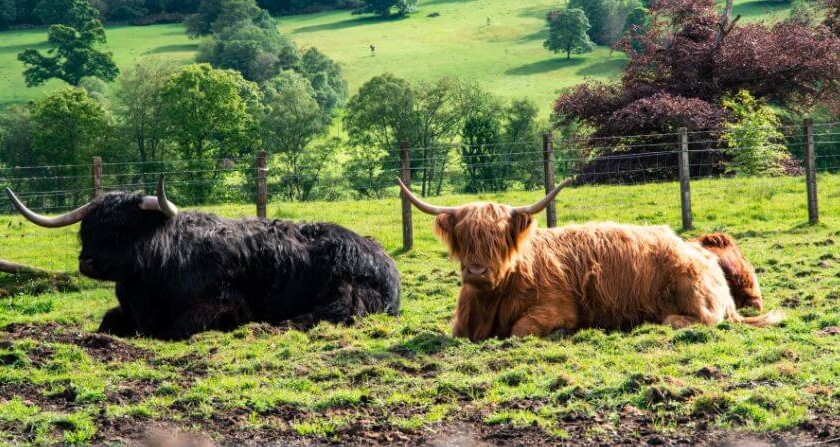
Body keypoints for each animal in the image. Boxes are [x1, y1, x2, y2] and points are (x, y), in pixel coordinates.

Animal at [6, 177, 400, 340]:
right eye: (87, 230)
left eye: (124, 229)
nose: (87, 263)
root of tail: (383, 259)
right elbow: (107, 322)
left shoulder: (223, 305)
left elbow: (176, 329)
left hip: (344, 293)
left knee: (331, 315)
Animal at [396, 178, 782, 342]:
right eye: (464, 238)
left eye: (498, 239)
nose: (477, 271)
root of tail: (701, 253)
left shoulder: (556, 307)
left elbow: (520, 330)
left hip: (693, 296)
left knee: (698, 320)